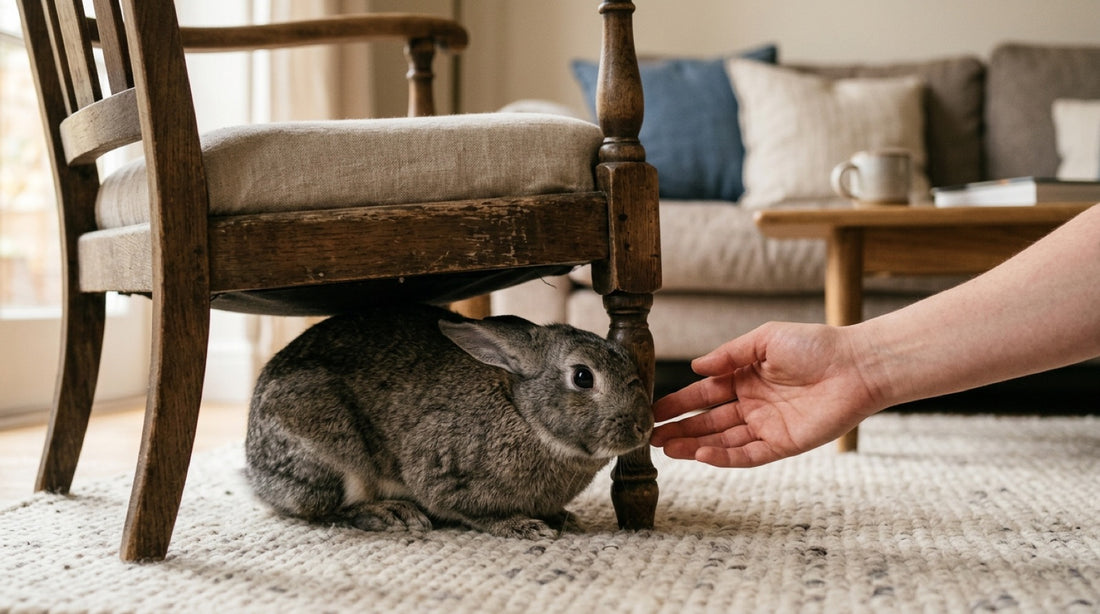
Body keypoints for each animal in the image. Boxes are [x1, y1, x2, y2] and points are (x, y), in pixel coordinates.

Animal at [244, 302, 653, 539]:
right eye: (583, 377)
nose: (643, 426)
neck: (522, 411)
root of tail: (255, 471)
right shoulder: (442, 475)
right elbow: (473, 512)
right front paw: (525, 527)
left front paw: (566, 518)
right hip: (331, 454)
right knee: (326, 508)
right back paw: (392, 514)